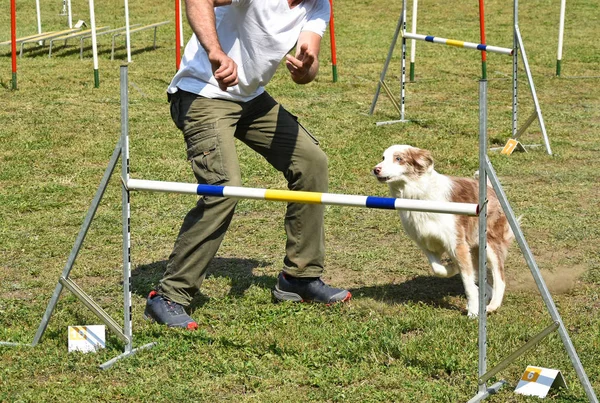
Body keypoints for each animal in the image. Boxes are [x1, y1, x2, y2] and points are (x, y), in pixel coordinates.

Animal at [372, 145, 512, 318]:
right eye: (383, 157)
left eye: (398, 158)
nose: (376, 169)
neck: (419, 194)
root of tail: (490, 188)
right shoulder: (425, 241)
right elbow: (438, 269)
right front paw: (452, 268)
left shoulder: (456, 243)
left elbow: (467, 282)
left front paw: (473, 312)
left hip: (490, 243)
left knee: (500, 278)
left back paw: (492, 305)